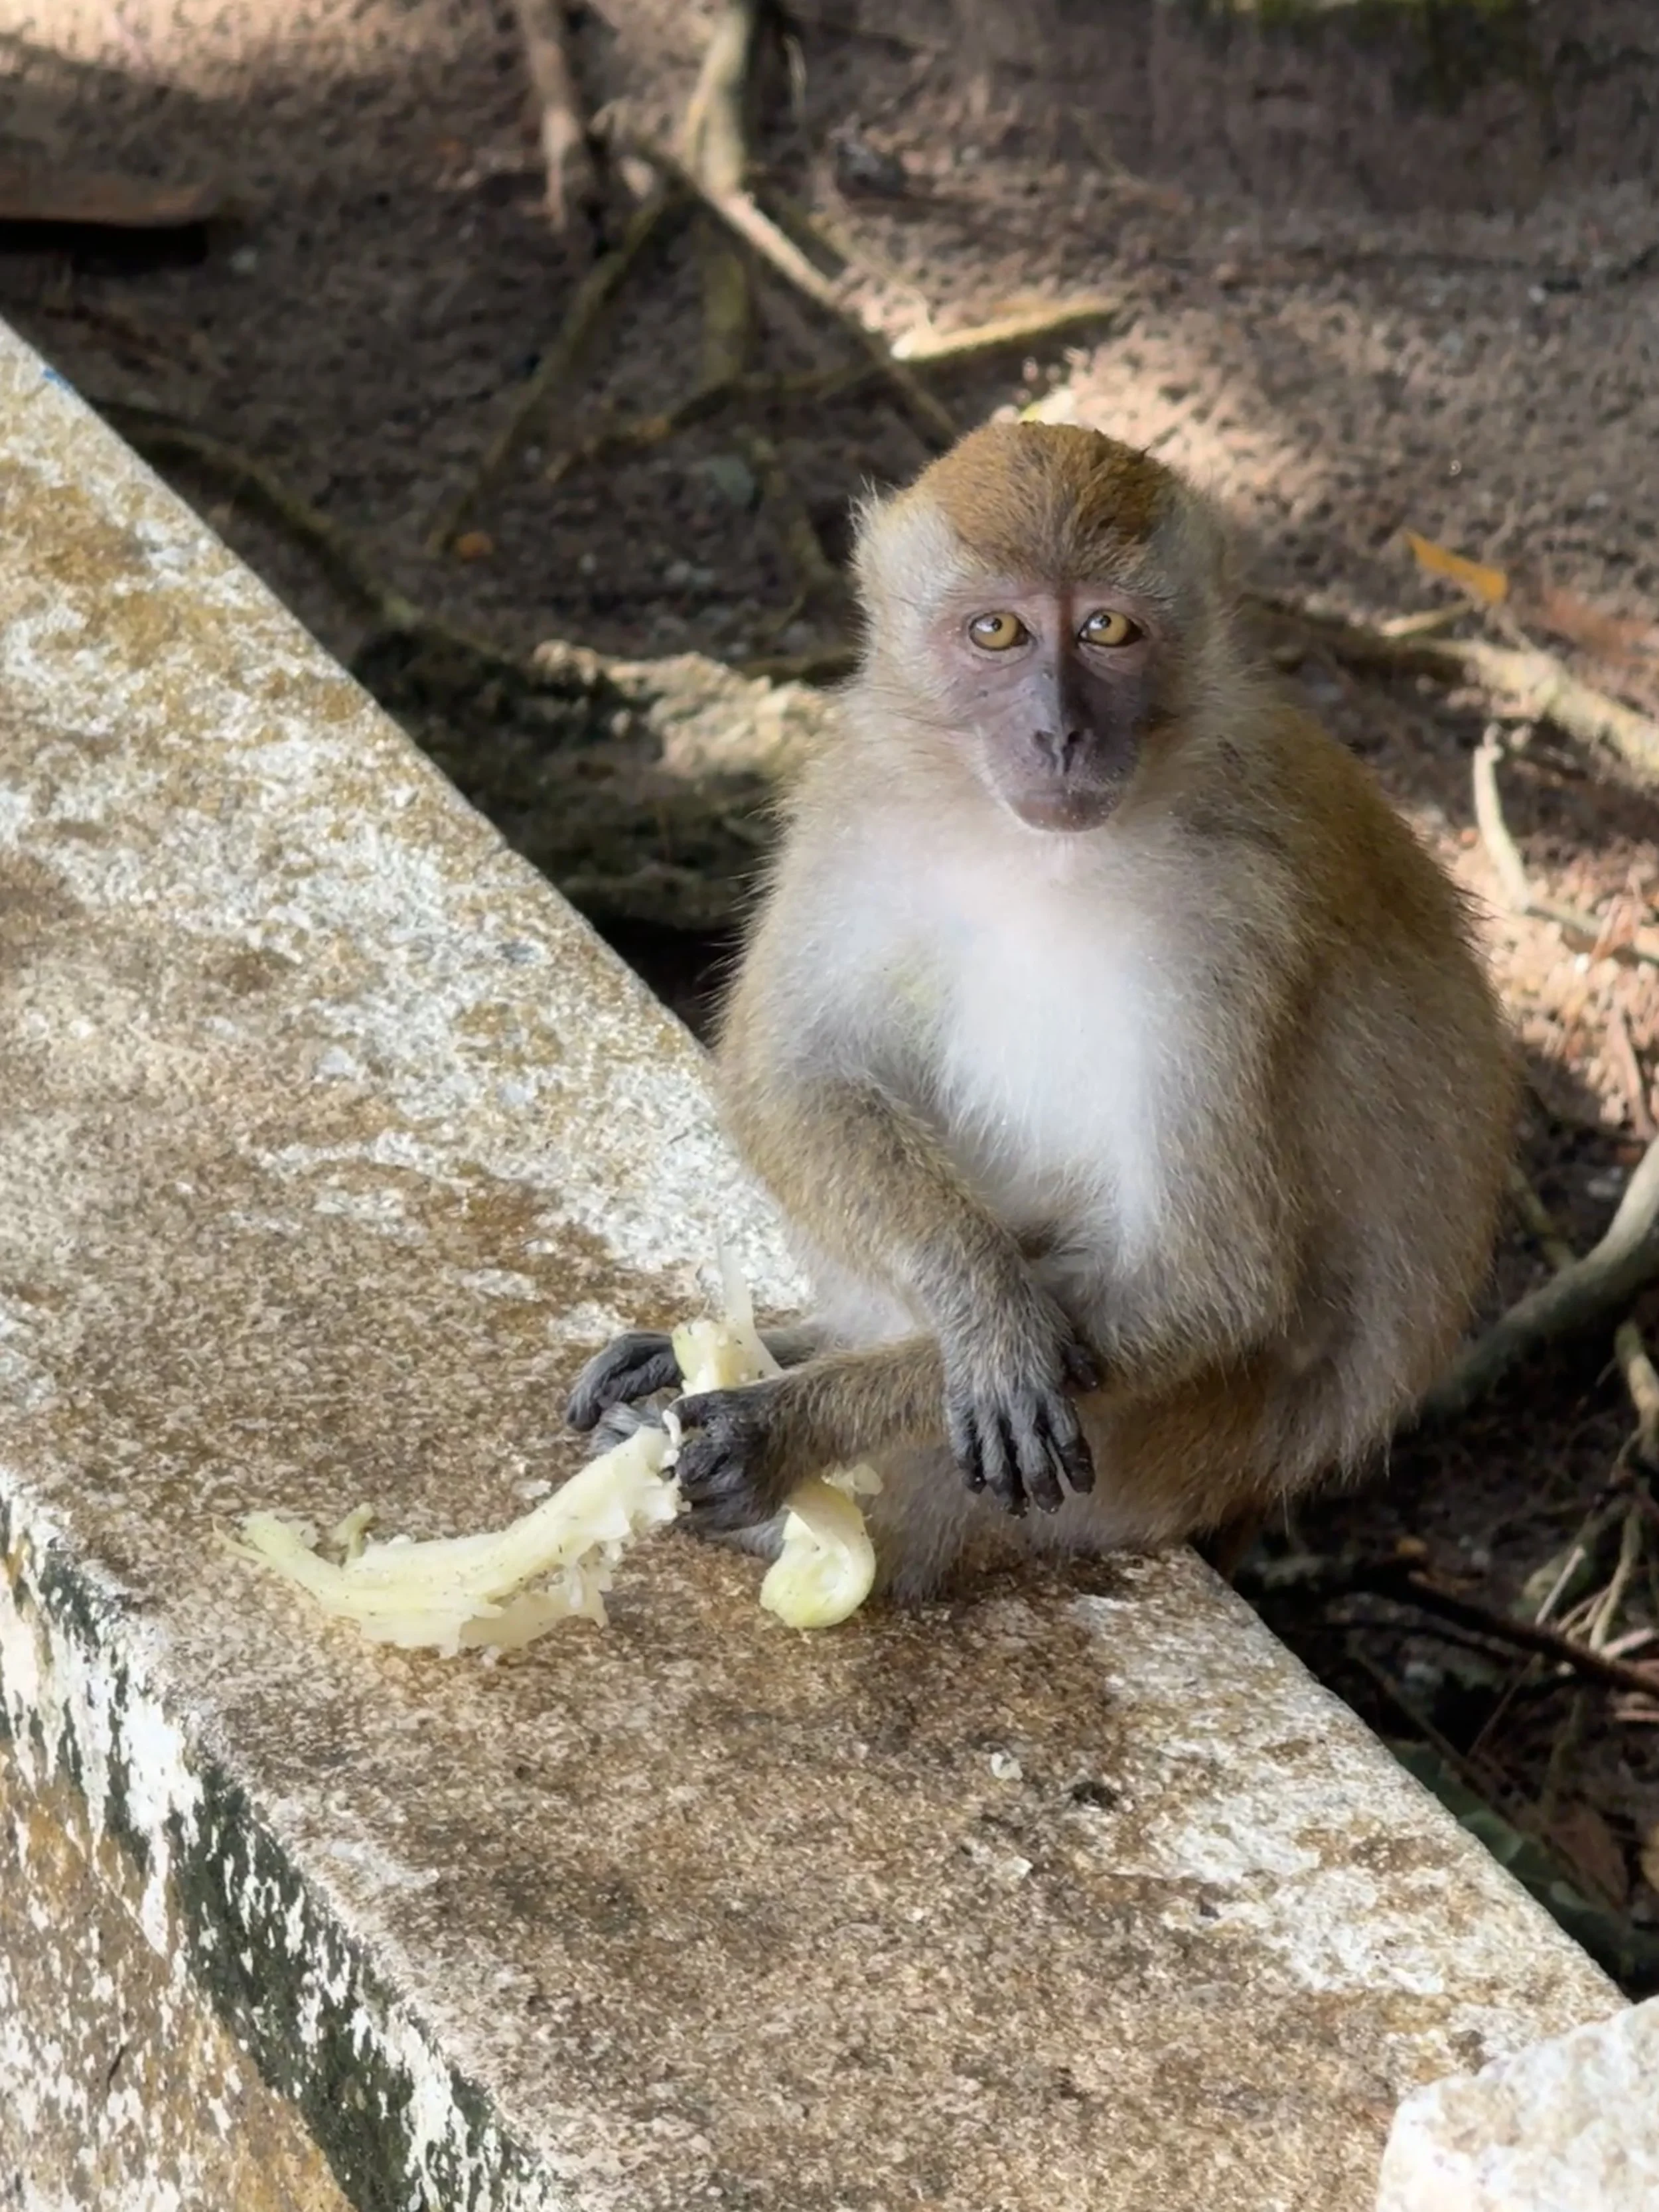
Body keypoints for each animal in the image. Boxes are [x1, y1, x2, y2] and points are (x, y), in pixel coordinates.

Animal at [567, 421, 1516, 1601]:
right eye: (998, 630)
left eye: (1108, 628)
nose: (1060, 733)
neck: (1037, 852)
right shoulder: (855, 796)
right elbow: (799, 1075)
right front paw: (985, 1311)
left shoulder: (1232, 916)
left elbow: (1209, 1278)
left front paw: (786, 1424)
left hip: (1173, 1457)